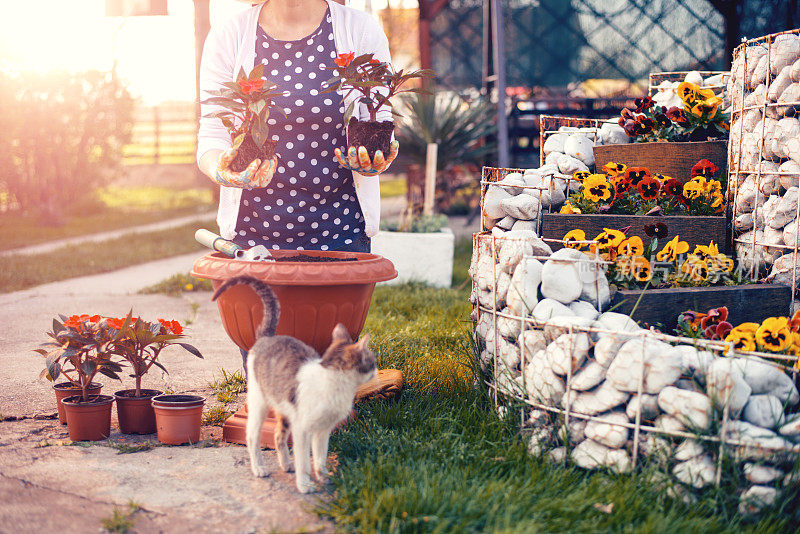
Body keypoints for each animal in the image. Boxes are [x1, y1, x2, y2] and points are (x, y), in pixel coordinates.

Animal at [211, 278, 376, 496]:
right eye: (372, 362)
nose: (376, 370)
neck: (334, 387)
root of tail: (267, 338)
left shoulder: (323, 430)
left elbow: (320, 456)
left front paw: (324, 477)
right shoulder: (302, 430)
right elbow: (304, 460)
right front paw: (304, 484)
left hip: (284, 410)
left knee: (277, 435)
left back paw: (286, 464)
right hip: (259, 402)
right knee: (252, 435)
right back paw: (259, 468)